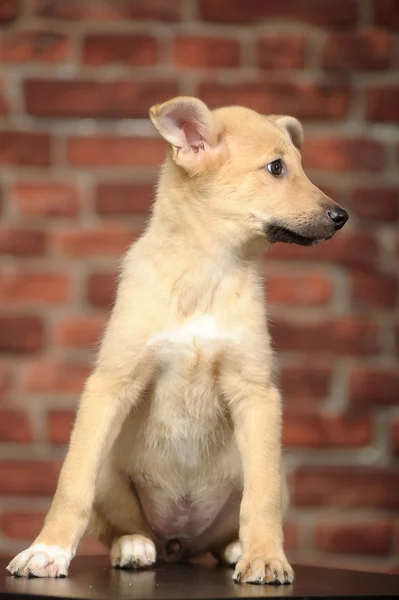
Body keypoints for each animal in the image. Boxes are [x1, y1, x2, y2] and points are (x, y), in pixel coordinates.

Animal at [7, 98, 348, 584]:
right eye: (276, 168)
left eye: (299, 165)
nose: (342, 217)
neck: (205, 271)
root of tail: (178, 543)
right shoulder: (110, 385)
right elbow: (72, 483)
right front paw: (47, 550)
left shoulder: (256, 394)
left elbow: (260, 499)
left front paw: (265, 556)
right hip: (111, 472)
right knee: (121, 524)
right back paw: (134, 545)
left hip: (265, 472)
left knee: (234, 520)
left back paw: (237, 549)